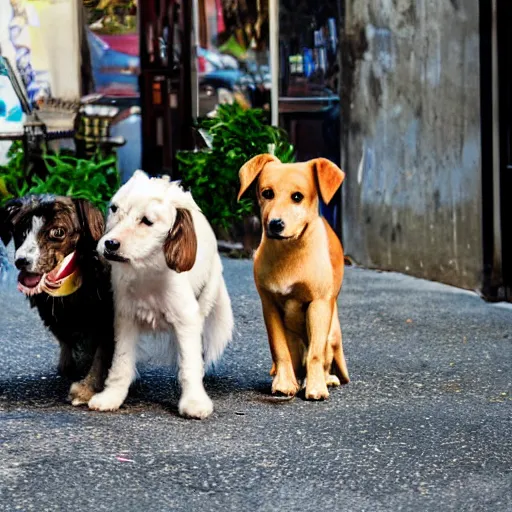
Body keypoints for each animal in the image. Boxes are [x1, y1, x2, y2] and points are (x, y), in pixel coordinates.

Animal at [0, 196, 114, 404]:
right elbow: (65, 336)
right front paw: (69, 365)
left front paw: (86, 389)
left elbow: (101, 354)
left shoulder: (107, 315)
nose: (21, 261)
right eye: (21, 231)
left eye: (58, 232)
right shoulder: (52, 313)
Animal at [86, 170, 234, 418]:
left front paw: (194, 400)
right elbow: (121, 363)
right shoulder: (126, 318)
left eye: (147, 221)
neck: (148, 269)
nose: (110, 244)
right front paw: (112, 396)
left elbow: (190, 363)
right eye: (114, 209)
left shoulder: (186, 319)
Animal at [238, 152, 350, 400]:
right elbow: (279, 349)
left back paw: (325, 378)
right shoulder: (269, 306)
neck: (288, 252)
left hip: (332, 333)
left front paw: (316, 387)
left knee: (322, 358)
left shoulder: (318, 304)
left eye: (297, 197)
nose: (275, 224)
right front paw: (284, 383)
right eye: (267, 193)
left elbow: (316, 353)